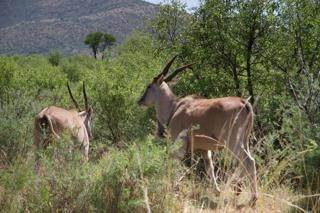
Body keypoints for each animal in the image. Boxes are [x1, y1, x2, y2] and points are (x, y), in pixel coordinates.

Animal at [138, 56, 258, 206]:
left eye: (149, 86)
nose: (140, 101)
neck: (175, 107)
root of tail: (244, 102)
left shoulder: (179, 146)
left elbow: (174, 165)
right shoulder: (205, 150)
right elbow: (210, 168)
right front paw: (217, 191)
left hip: (232, 143)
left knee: (249, 161)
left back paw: (252, 198)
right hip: (244, 141)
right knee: (245, 162)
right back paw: (238, 187)